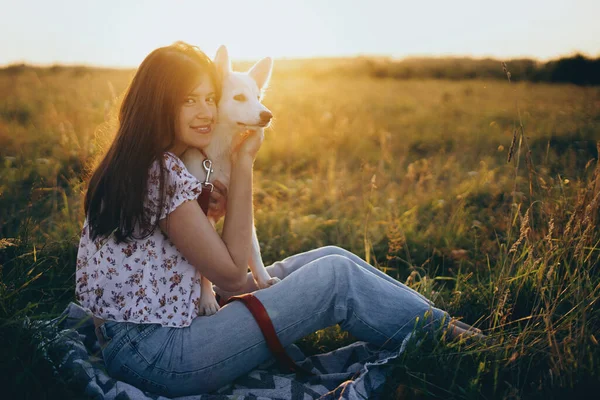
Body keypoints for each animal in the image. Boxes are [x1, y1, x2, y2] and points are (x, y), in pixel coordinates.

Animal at [180, 46, 278, 316]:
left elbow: (252, 248)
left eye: (257, 96)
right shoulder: (203, 216)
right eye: (239, 98)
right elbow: (203, 270)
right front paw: (206, 300)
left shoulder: (242, 204)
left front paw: (264, 280)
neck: (217, 154)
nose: (267, 115)